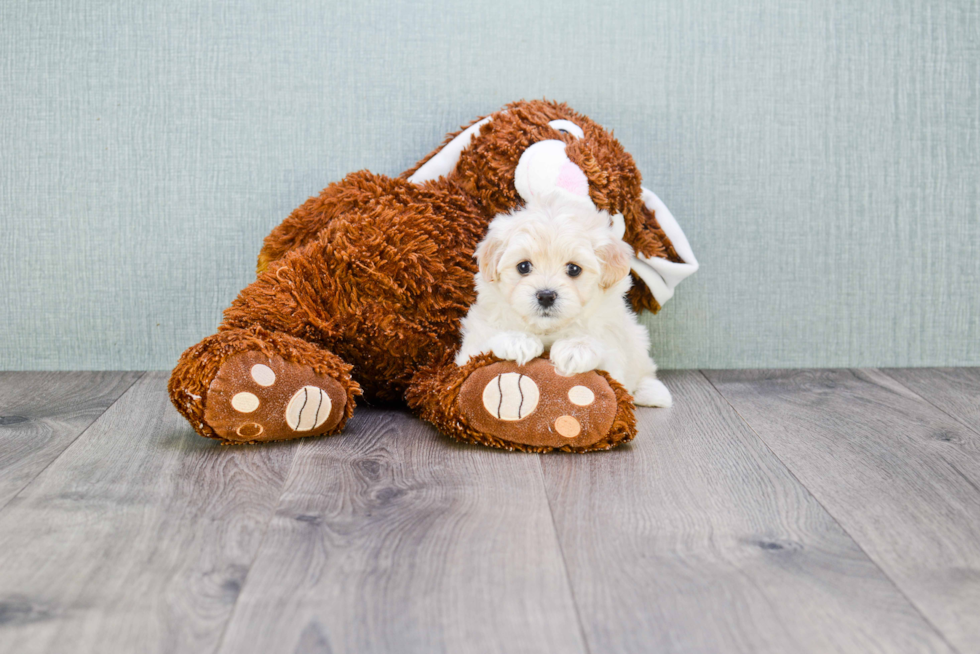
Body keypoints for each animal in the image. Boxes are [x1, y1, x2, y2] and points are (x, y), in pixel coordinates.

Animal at [458, 193, 672, 410]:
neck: (547, 330)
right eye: (523, 266)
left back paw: (651, 392)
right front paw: (517, 340)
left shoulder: (613, 350)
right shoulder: (467, 353)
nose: (545, 295)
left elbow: (606, 359)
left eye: (574, 269)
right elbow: (483, 344)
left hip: (637, 338)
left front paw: (576, 348)